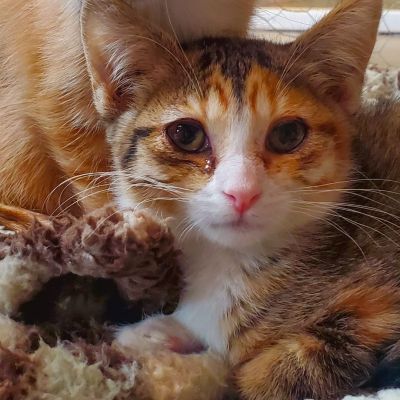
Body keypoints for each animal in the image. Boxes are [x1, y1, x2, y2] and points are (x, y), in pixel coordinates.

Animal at [73, 0, 400, 398]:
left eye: (288, 134)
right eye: (185, 134)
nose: (242, 191)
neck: (227, 263)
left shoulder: (381, 309)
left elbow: (280, 369)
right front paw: (152, 333)